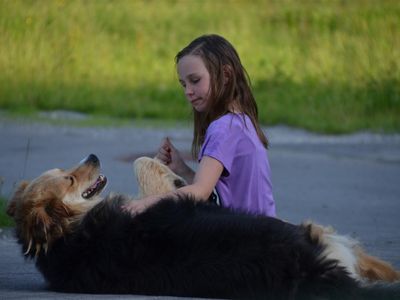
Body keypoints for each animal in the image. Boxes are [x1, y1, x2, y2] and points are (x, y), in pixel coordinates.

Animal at [6, 154, 400, 298]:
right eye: (70, 179)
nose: (92, 156)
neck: (72, 235)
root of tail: (311, 268)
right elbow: (143, 164)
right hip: (313, 233)